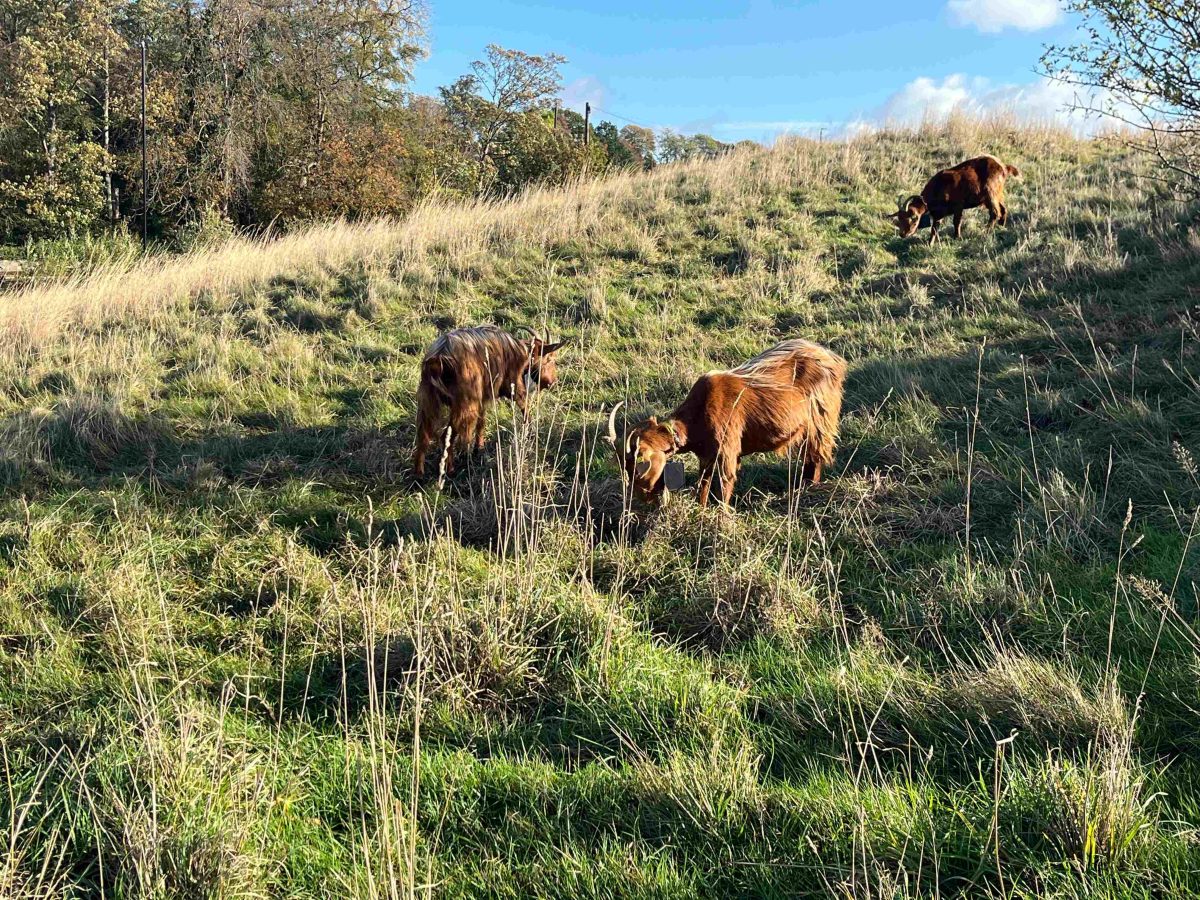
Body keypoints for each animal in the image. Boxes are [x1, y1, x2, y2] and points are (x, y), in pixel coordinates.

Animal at [413, 325, 566, 478]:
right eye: (550, 359)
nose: (553, 382)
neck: (520, 350)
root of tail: (438, 359)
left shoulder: (484, 395)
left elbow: (482, 421)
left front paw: (479, 448)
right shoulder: (512, 386)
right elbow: (524, 407)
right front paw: (530, 430)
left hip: (428, 400)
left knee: (423, 434)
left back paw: (419, 474)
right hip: (464, 405)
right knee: (446, 436)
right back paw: (450, 470)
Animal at [605, 339, 846, 507]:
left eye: (639, 468)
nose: (643, 498)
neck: (697, 418)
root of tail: (833, 358)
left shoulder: (727, 452)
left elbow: (724, 488)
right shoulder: (706, 457)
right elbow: (702, 485)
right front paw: (700, 511)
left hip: (821, 420)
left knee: (816, 455)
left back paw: (809, 490)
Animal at [889, 155, 1021, 242]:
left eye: (914, 219)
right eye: (899, 219)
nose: (903, 234)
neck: (938, 187)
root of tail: (1003, 167)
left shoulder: (958, 205)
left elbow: (956, 222)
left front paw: (958, 237)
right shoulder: (938, 213)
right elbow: (934, 228)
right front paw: (930, 243)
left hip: (990, 192)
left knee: (995, 212)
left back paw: (986, 232)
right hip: (997, 193)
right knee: (1003, 209)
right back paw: (1001, 227)